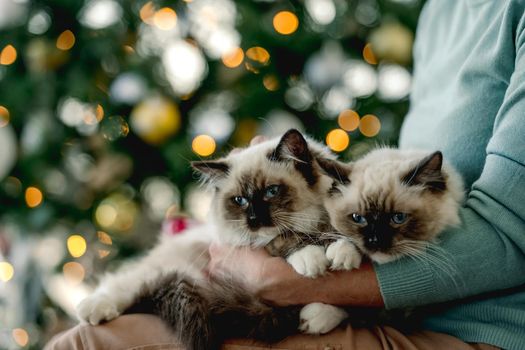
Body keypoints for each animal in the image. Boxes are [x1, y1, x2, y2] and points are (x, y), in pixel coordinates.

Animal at [298, 147, 462, 334]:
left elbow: (361, 309)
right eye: (358, 218)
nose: (375, 240)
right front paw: (342, 254)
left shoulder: (407, 312)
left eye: (398, 218)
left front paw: (317, 318)